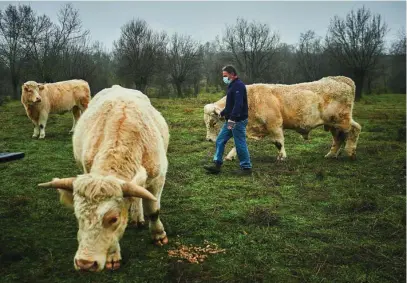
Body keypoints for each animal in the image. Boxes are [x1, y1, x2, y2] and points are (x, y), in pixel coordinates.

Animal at [38, 85, 171, 272]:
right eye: (77, 215)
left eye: (113, 218)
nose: (85, 263)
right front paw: (113, 255)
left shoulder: (158, 179)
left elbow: (153, 210)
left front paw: (158, 234)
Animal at [206, 76, 362, 162]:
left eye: (213, 123)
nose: (208, 139)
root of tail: (340, 79)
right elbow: (239, 143)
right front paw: (230, 156)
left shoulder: (274, 124)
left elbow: (279, 142)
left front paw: (282, 157)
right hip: (334, 124)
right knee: (338, 138)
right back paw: (331, 154)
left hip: (341, 120)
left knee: (355, 129)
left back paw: (351, 153)